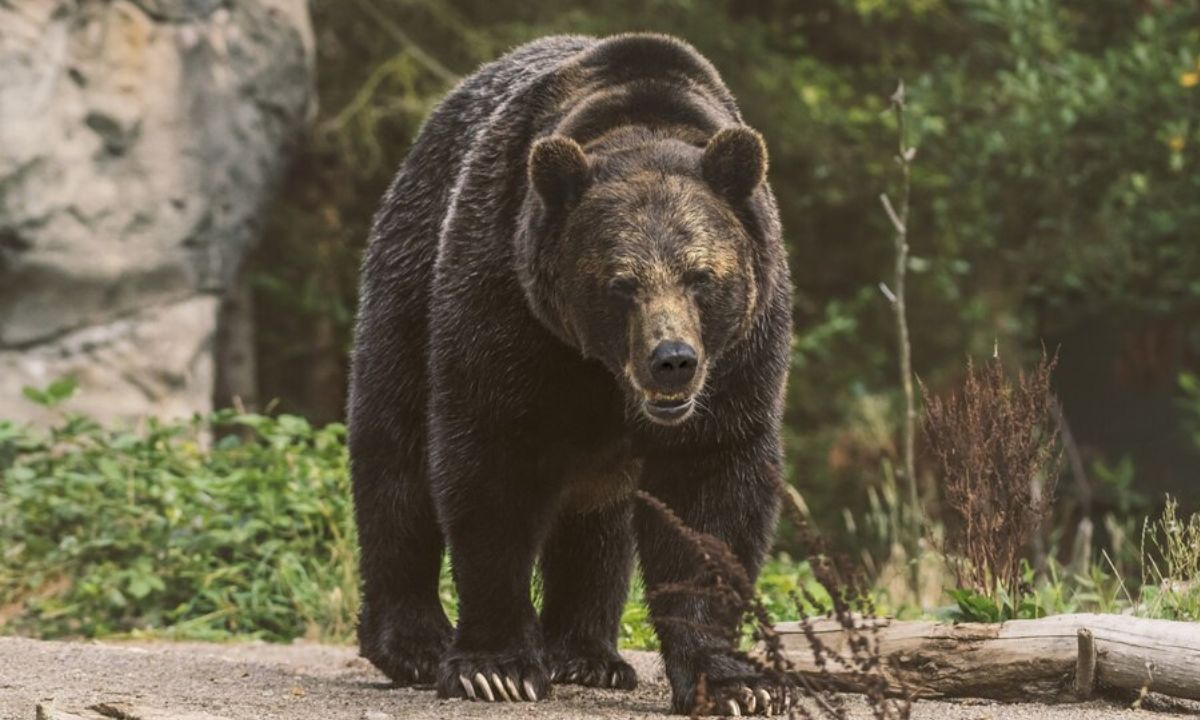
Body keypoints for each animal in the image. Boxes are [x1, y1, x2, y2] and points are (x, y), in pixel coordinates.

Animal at [348, 32, 792, 715]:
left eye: (700, 276)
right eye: (620, 283)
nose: (673, 361)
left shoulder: (741, 360)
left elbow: (711, 496)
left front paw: (734, 681)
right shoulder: (506, 304)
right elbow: (489, 469)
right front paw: (496, 667)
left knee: (597, 522)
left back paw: (589, 656)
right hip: (408, 281)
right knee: (394, 459)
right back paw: (413, 643)